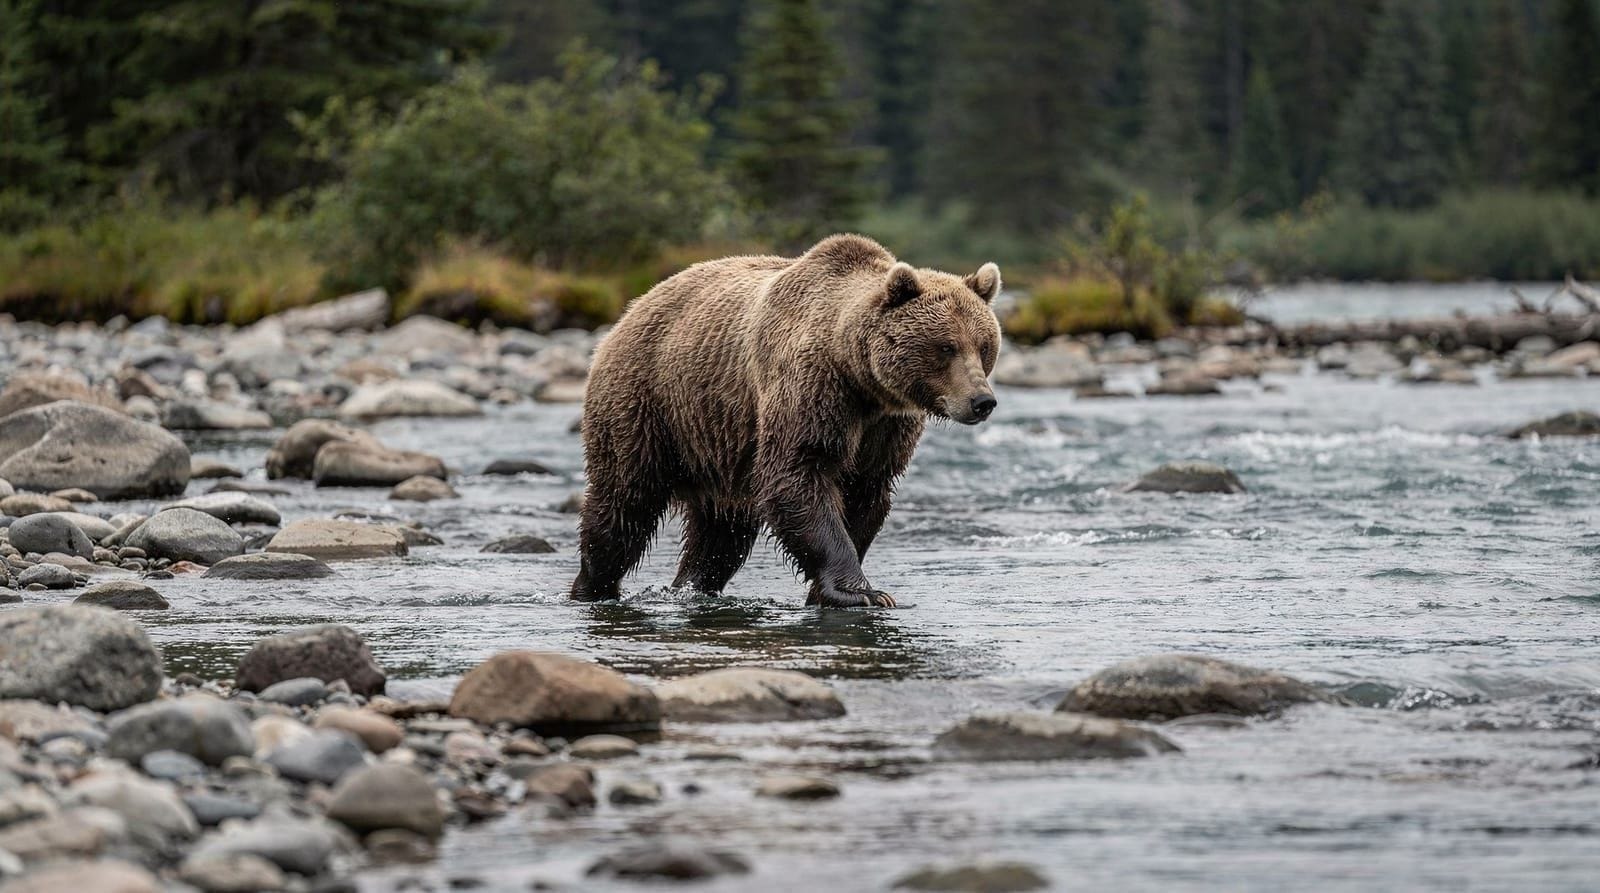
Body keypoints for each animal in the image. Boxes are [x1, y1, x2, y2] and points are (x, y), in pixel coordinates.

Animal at [571, 234, 1002, 607]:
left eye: (984, 345)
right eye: (945, 347)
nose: (982, 401)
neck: (861, 380)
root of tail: (629, 310)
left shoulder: (884, 429)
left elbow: (865, 495)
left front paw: (827, 591)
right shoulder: (812, 390)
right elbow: (797, 476)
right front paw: (862, 592)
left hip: (721, 443)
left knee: (721, 532)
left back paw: (691, 586)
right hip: (647, 405)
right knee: (623, 505)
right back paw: (592, 587)